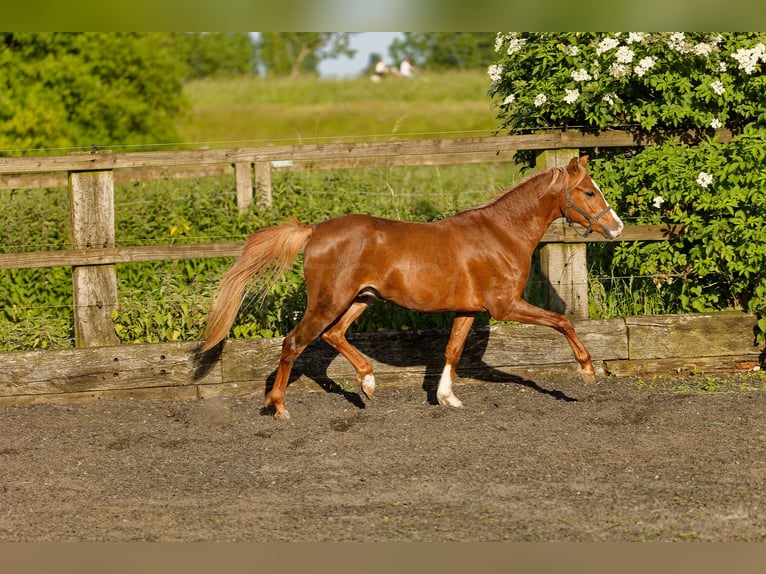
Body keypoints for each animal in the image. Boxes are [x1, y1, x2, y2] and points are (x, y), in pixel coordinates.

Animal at [202, 156, 624, 418]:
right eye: (589, 192)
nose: (616, 227)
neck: (502, 235)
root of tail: (315, 230)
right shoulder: (505, 305)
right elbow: (562, 321)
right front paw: (587, 372)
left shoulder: (468, 309)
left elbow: (452, 350)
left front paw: (447, 398)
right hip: (329, 300)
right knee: (294, 342)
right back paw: (280, 407)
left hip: (360, 299)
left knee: (334, 336)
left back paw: (368, 383)